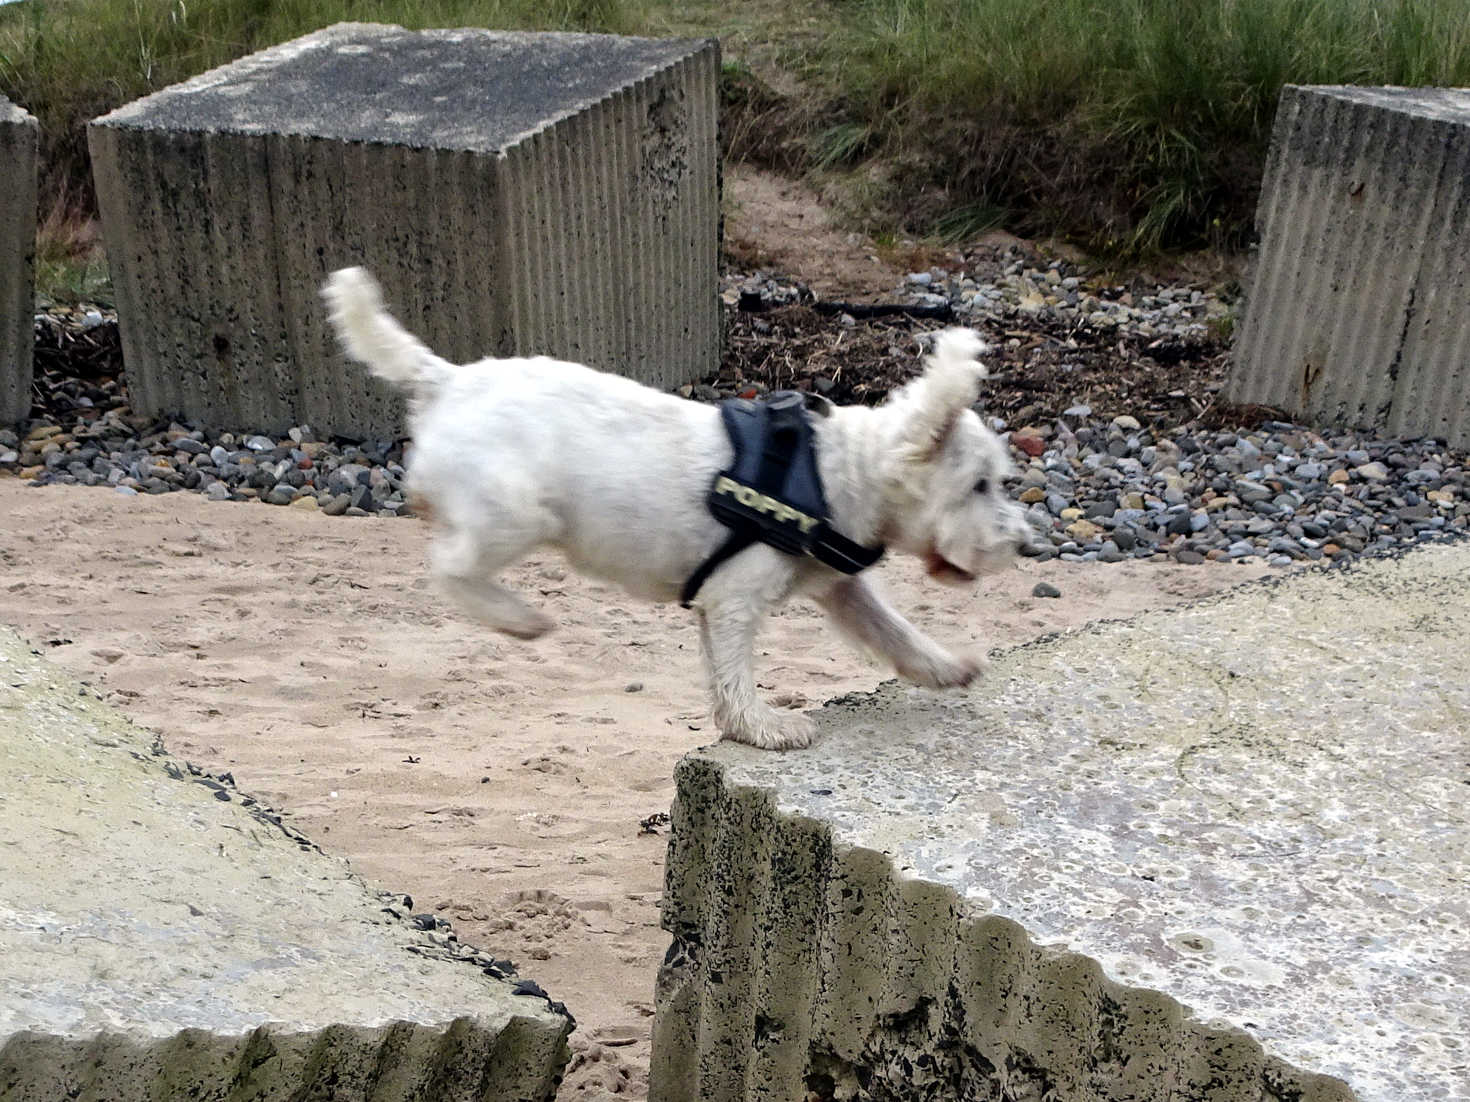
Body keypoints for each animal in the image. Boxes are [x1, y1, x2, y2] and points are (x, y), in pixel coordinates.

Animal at [326, 267, 1029, 752]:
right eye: (979, 485)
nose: (1021, 544)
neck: (840, 471)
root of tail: (448, 380)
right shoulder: (736, 599)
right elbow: (739, 675)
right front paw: (765, 728)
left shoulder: (835, 589)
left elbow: (891, 631)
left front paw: (947, 668)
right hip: (517, 515)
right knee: (449, 566)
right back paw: (518, 619)